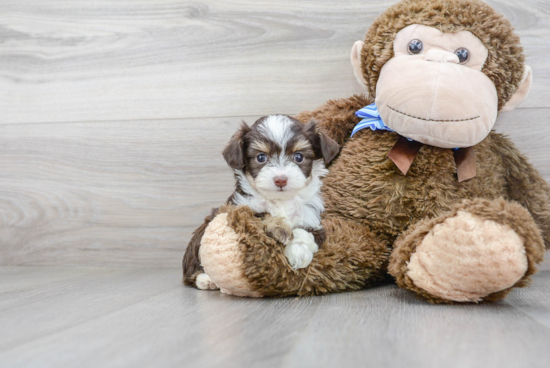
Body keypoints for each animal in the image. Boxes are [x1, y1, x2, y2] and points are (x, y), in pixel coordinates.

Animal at [183, 115, 342, 290]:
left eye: (299, 157)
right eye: (261, 157)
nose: (280, 179)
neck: (281, 201)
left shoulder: (312, 219)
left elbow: (305, 232)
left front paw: (298, 253)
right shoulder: (238, 208)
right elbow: (261, 214)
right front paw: (279, 227)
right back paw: (206, 279)